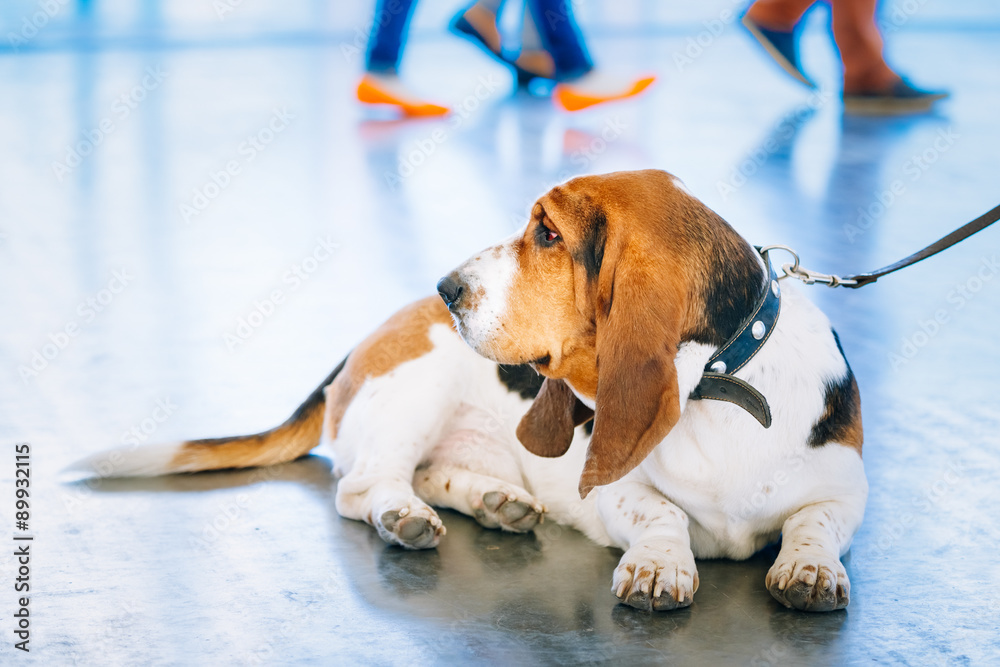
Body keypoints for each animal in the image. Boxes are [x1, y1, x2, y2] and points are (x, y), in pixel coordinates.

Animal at [72, 170, 868, 612]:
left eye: (548, 234)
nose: (447, 287)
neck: (721, 386)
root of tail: (361, 343)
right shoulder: (619, 492)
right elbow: (660, 513)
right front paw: (658, 564)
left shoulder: (846, 491)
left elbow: (814, 523)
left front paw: (807, 569)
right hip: (414, 397)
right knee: (363, 486)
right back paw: (405, 517)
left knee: (431, 475)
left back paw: (493, 500)